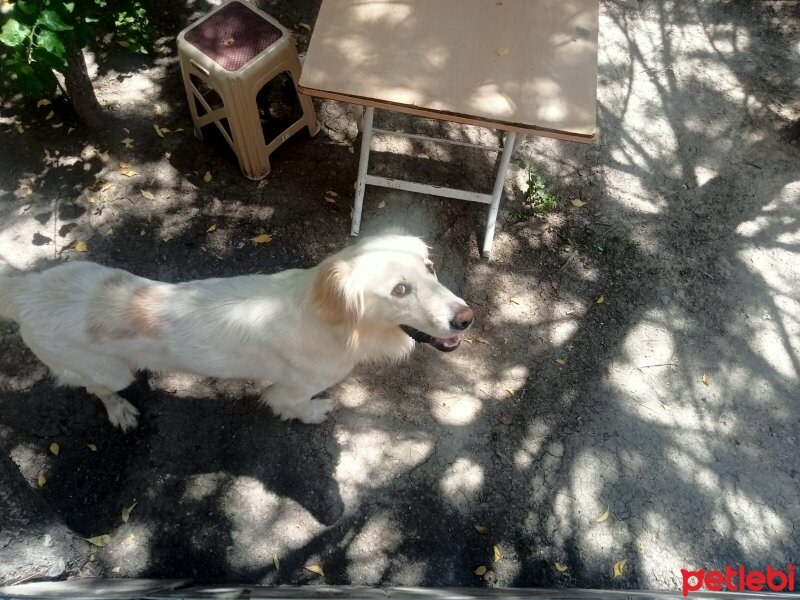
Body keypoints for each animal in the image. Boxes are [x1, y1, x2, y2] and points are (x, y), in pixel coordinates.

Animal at [0, 233, 476, 426]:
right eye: (399, 289)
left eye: (430, 268)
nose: (466, 318)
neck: (334, 324)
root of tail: (26, 290)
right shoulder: (287, 391)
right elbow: (295, 407)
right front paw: (314, 414)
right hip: (109, 372)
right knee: (94, 387)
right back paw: (119, 409)